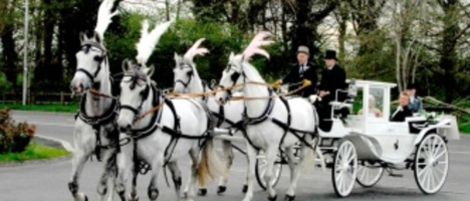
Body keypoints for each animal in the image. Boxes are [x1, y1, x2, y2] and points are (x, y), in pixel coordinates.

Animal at [68, 0, 119, 201]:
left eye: (97, 57)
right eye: (77, 56)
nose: (76, 85)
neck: (97, 116)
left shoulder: (111, 151)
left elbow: (103, 187)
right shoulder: (81, 151)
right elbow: (73, 184)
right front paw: (82, 196)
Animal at [113, 20, 225, 201]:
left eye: (143, 92)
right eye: (120, 88)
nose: (123, 124)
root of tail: (197, 102)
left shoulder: (157, 161)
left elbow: (152, 191)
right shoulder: (127, 158)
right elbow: (122, 188)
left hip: (195, 149)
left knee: (194, 170)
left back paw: (191, 194)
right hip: (173, 154)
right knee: (177, 177)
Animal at [172, 37, 246, 195]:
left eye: (189, 73)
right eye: (175, 72)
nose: (177, 93)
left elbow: (197, 160)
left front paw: (190, 188)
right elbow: (200, 161)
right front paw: (200, 188)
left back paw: (246, 185)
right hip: (227, 135)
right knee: (230, 157)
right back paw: (222, 185)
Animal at [214, 31, 318, 201]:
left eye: (234, 75)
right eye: (223, 72)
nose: (219, 98)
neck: (262, 111)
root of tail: (308, 102)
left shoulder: (271, 147)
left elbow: (268, 175)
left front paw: (272, 194)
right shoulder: (252, 146)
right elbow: (251, 173)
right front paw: (248, 196)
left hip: (305, 141)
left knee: (299, 164)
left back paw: (291, 191)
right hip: (289, 144)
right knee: (292, 165)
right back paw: (290, 192)